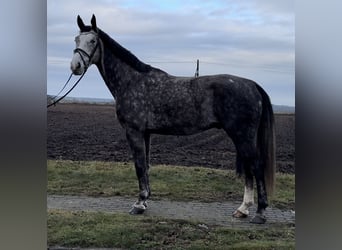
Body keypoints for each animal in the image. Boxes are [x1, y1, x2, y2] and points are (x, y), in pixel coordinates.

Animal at [71, 14, 276, 224]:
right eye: (76, 40)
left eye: (92, 41)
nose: (75, 66)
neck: (132, 81)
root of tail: (252, 85)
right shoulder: (146, 133)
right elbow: (146, 165)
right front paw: (145, 201)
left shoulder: (134, 131)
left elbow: (139, 166)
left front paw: (139, 204)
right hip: (241, 136)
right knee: (249, 168)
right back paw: (243, 209)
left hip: (242, 134)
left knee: (256, 166)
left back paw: (260, 213)